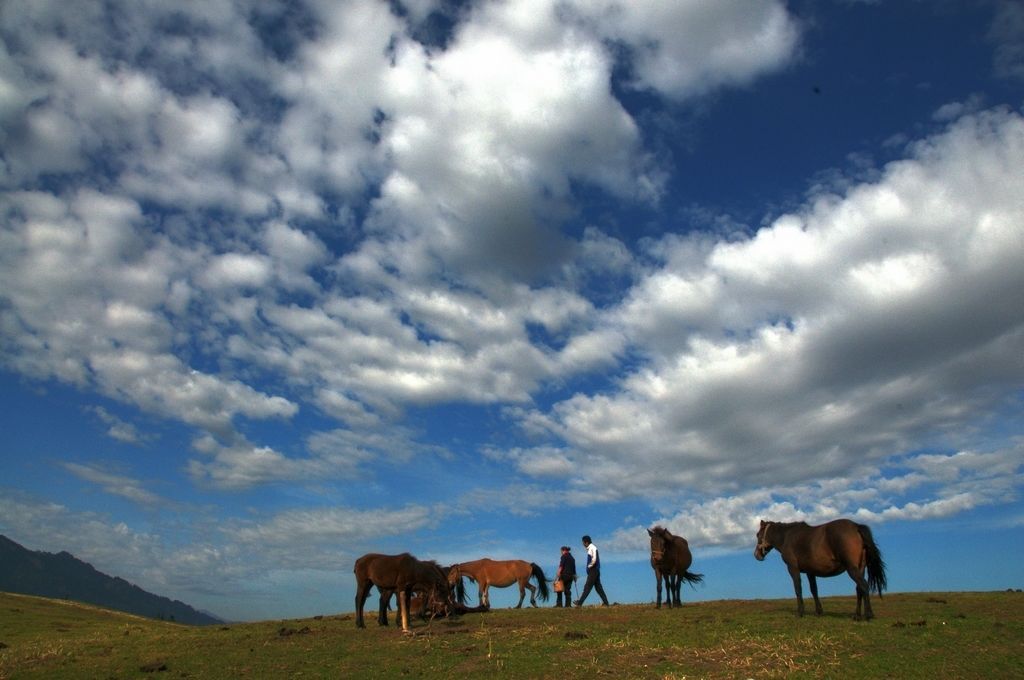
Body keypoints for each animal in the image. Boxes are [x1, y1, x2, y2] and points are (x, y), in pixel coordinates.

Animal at [753, 518, 888, 618]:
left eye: (758, 534)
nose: (756, 555)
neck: (787, 537)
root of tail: (856, 526)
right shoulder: (810, 572)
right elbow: (814, 590)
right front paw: (818, 612)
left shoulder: (793, 568)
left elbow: (798, 589)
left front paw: (800, 612)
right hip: (860, 568)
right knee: (859, 588)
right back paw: (857, 615)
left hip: (852, 569)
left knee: (864, 585)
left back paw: (868, 614)